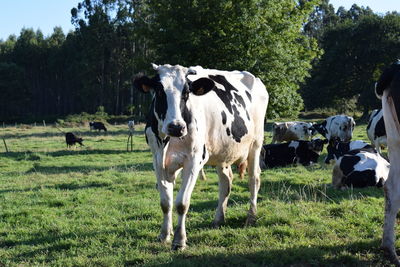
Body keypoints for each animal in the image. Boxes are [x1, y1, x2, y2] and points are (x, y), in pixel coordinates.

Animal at [134, 63, 268, 251]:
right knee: (226, 182)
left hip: (255, 143)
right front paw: (164, 235)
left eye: (186, 92)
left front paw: (179, 240)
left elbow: (182, 203)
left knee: (254, 179)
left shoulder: (194, 160)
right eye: (159, 91)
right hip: (223, 151)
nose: (176, 127)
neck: (168, 140)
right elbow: (166, 202)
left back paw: (251, 217)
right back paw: (219, 218)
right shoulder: (158, 159)